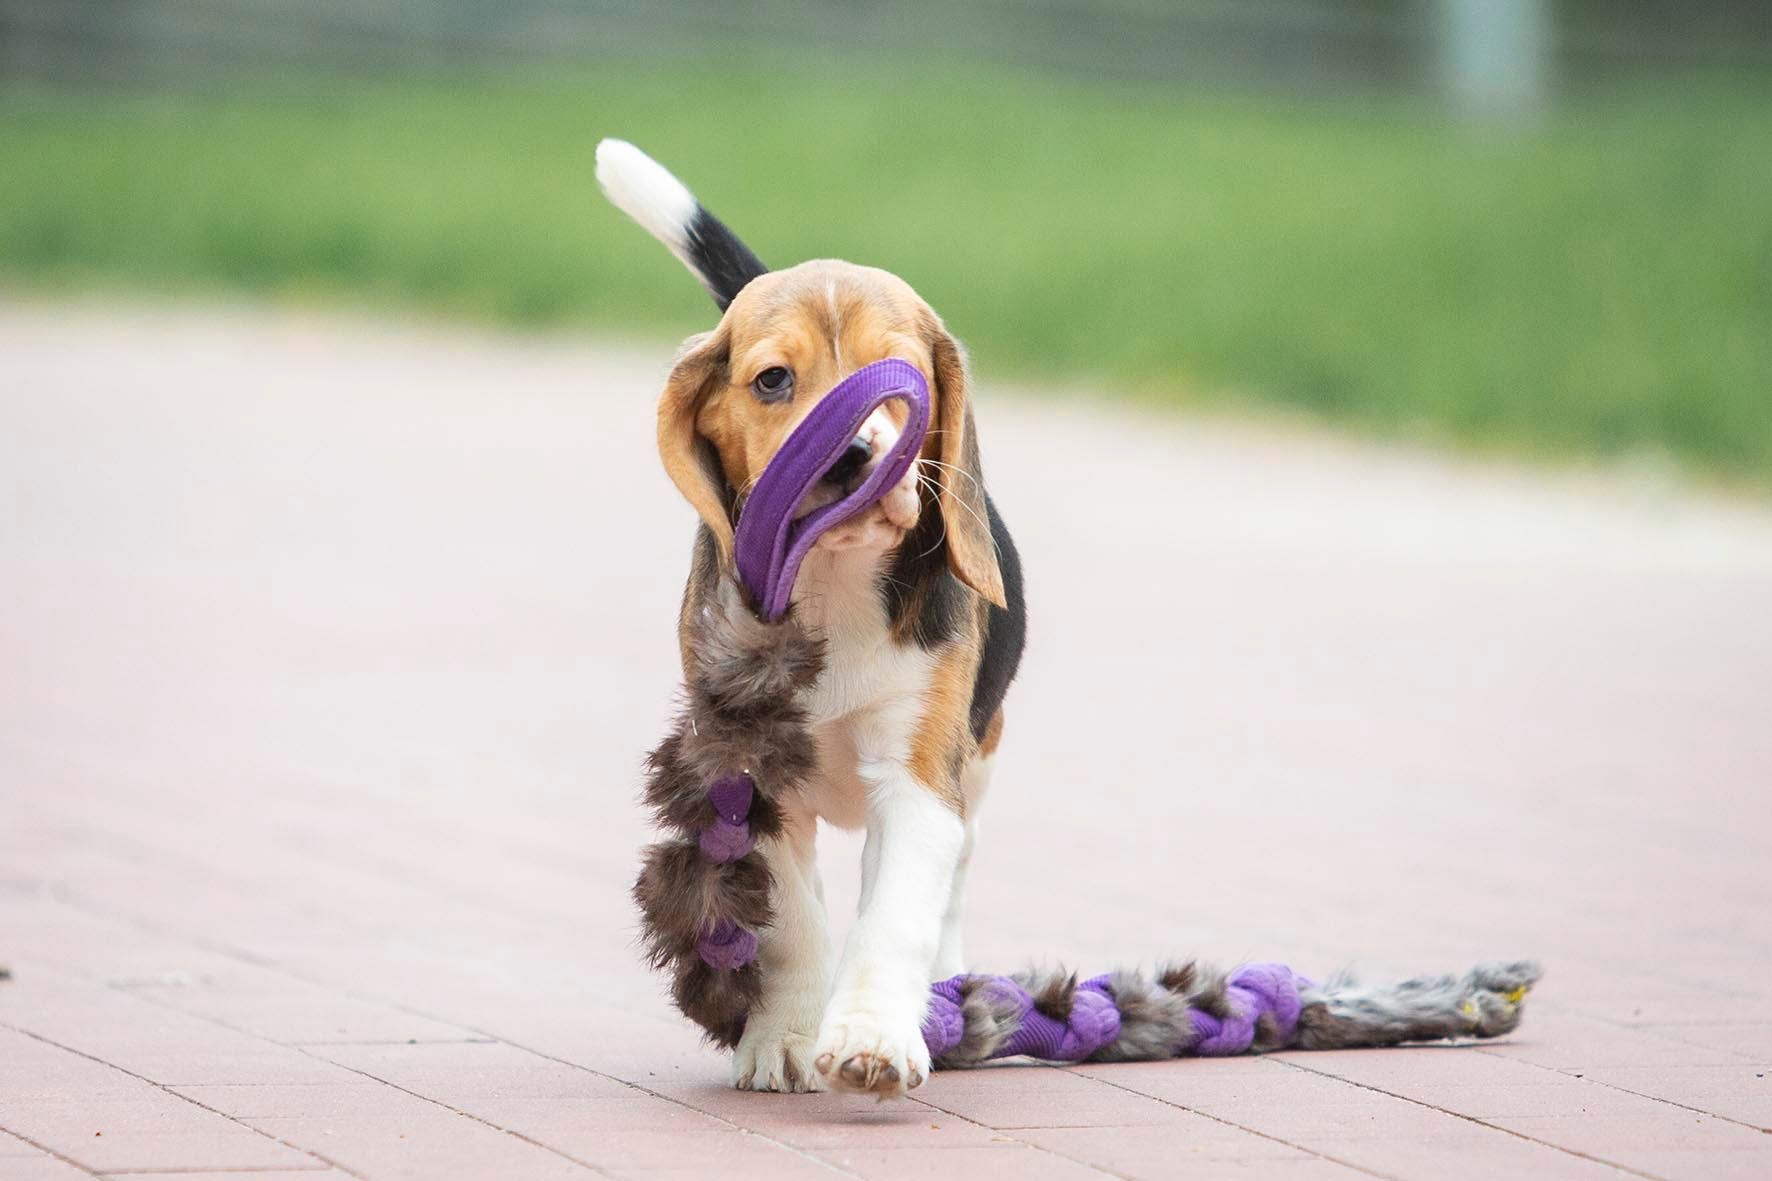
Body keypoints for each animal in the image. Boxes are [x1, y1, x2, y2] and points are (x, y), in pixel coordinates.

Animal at [595, 140, 1027, 1092]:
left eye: (899, 377)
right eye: (773, 380)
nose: (852, 454)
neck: (835, 581)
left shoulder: (918, 776)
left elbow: (896, 912)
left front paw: (871, 1035)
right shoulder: (752, 775)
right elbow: (790, 918)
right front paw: (786, 1035)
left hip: (978, 762)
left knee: (953, 877)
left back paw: (949, 985)